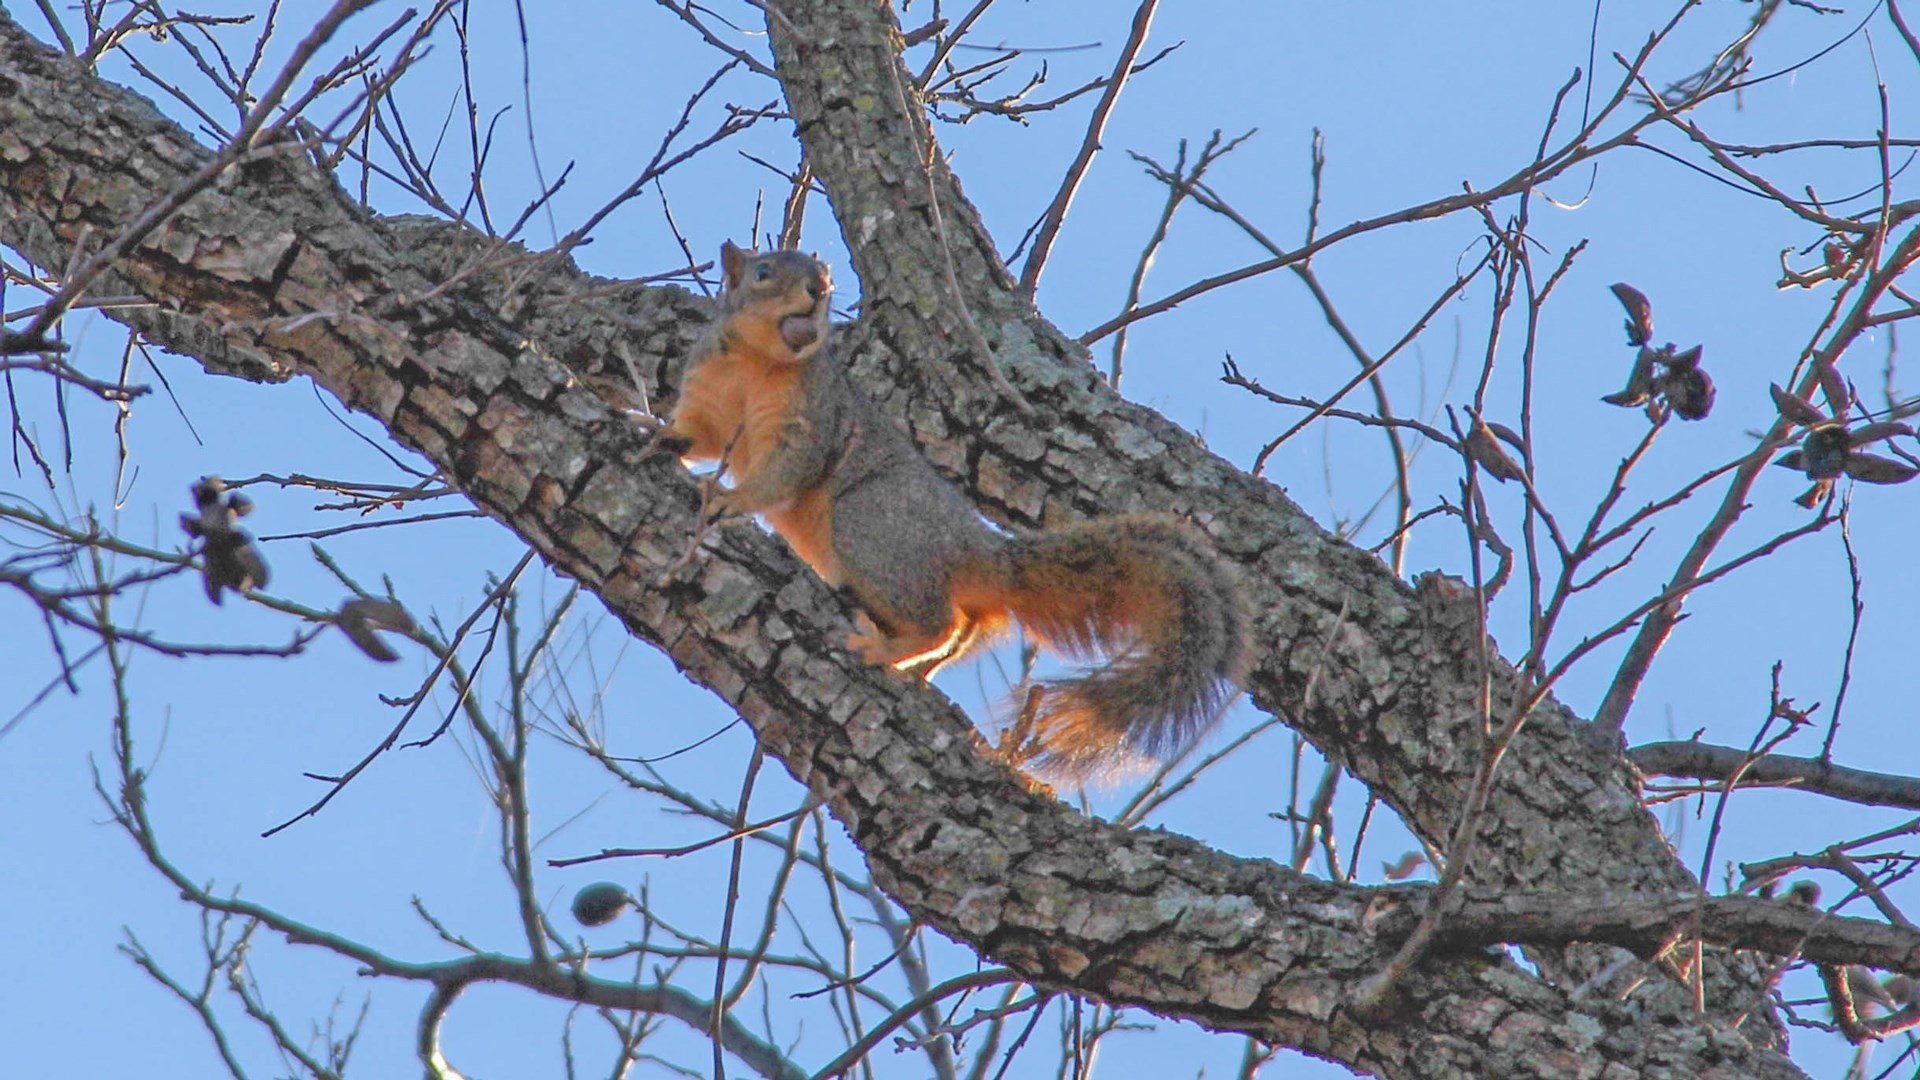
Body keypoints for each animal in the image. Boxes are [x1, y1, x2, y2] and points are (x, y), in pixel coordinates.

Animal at [653, 243, 1252, 779]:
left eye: (825, 274)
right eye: (763, 271)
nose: (818, 290)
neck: (760, 362)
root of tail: (980, 552)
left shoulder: (812, 417)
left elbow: (787, 470)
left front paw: (731, 498)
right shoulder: (707, 392)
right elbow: (699, 435)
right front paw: (656, 433)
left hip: (871, 525)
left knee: (937, 622)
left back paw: (885, 649)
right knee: (958, 631)